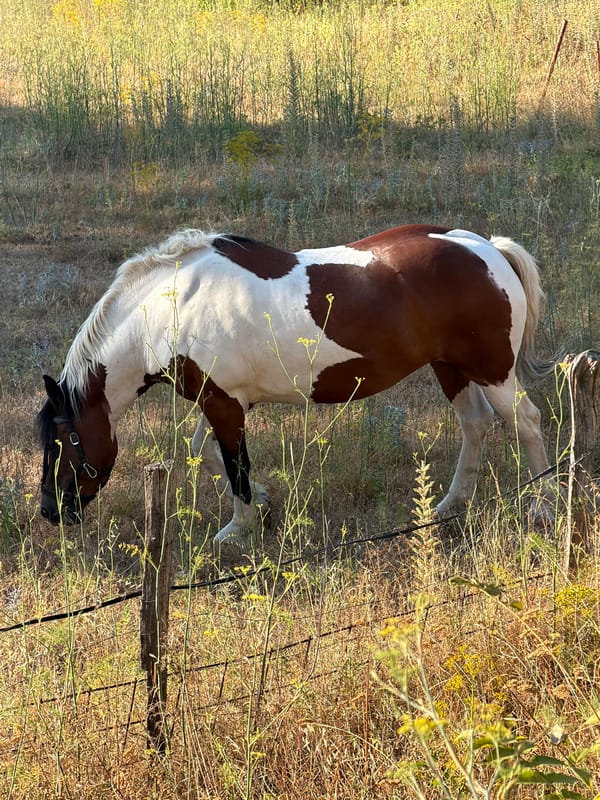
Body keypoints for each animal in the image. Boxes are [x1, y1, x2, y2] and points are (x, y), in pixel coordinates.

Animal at [38, 224, 553, 553]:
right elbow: (207, 453)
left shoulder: (224, 404)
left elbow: (235, 466)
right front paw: (264, 506)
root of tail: (486, 249)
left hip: (492, 372)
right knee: (476, 424)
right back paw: (449, 506)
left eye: (64, 442)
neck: (173, 306)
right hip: (451, 368)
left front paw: (238, 529)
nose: (50, 510)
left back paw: (544, 507)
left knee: (527, 423)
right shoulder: (225, 401)